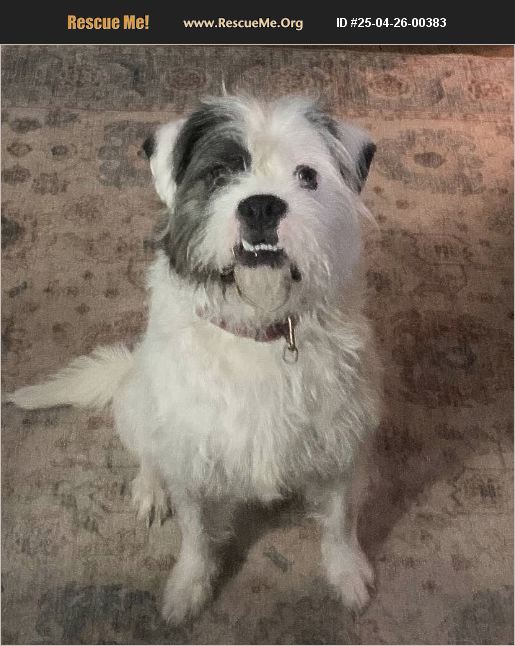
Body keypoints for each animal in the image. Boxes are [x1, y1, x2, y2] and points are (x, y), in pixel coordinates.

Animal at [7, 95, 382, 624]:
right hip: (137, 404)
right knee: (147, 454)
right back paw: (150, 491)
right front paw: (187, 590)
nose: (261, 205)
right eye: (220, 172)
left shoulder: (343, 446)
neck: (257, 332)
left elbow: (340, 521)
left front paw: (347, 574)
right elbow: (197, 536)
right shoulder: (192, 459)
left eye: (307, 175)